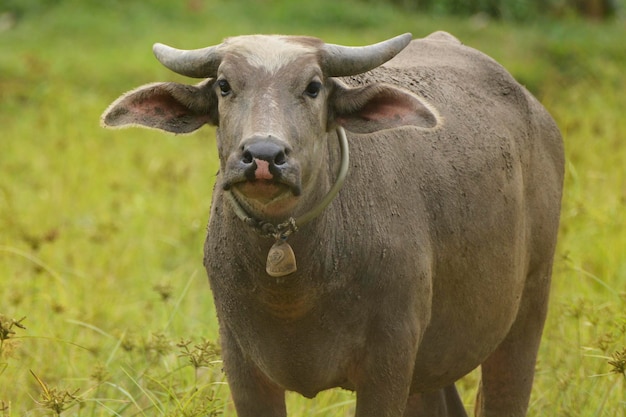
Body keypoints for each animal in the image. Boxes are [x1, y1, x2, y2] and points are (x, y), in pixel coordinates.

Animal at [101, 30, 560, 414]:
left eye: (313, 87)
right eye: (225, 85)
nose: (263, 155)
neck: (295, 289)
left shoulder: (389, 361)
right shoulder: (242, 362)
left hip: (528, 308)